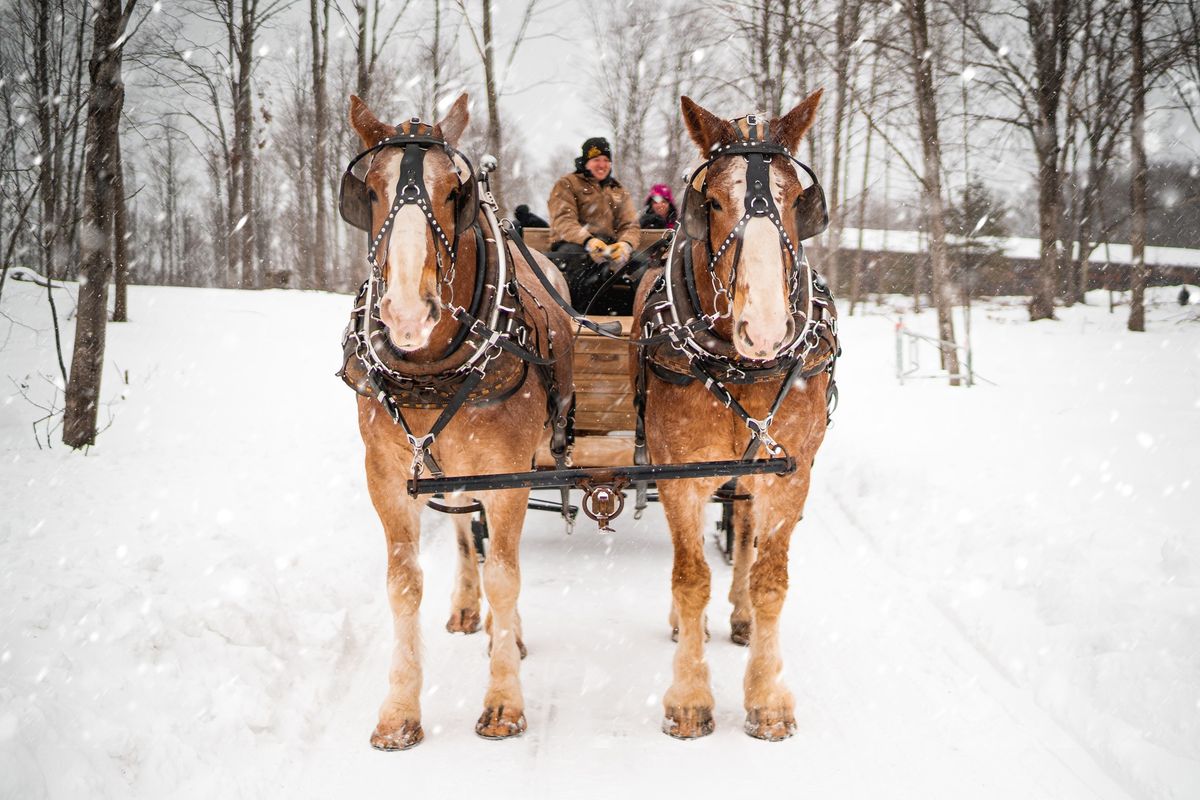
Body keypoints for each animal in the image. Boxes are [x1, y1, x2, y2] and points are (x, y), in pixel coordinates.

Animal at [345, 94, 573, 753]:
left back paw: (506, 632)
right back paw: (476, 613)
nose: (406, 313)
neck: (432, 367)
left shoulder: (508, 472)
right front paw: (399, 712)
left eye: (455, 192)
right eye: (369, 191)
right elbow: (404, 582)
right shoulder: (386, 475)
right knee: (466, 532)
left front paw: (504, 703)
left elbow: (506, 575)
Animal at [633, 90, 840, 743]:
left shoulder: (790, 473)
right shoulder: (677, 471)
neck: (739, 365)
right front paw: (689, 698)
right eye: (715, 202)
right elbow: (690, 575)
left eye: (798, 201)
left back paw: (741, 615)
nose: (766, 328)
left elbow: (770, 579)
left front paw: (768, 699)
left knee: (744, 530)